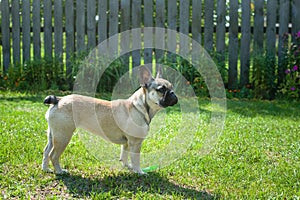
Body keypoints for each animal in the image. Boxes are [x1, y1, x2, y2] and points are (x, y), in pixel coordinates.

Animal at [42, 65, 178, 173]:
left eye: (172, 87)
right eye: (162, 89)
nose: (173, 93)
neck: (140, 107)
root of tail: (59, 99)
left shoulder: (127, 143)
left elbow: (124, 156)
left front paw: (128, 167)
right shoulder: (135, 142)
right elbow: (136, 159)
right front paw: (139, 171)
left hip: (53, 134)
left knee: (46, 151)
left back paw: (46, 169)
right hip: (63, 136)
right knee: (53, 155)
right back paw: (59, 171)